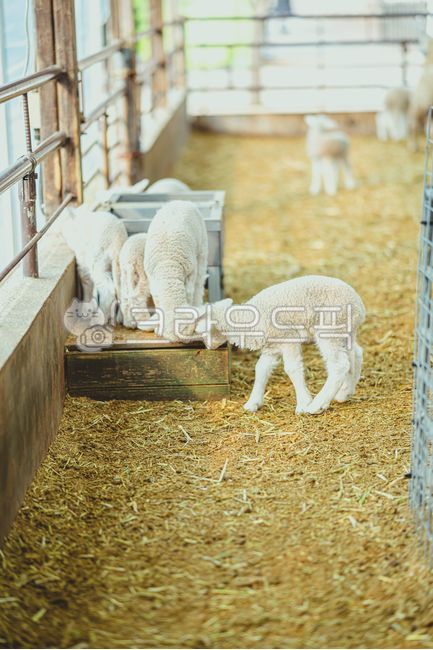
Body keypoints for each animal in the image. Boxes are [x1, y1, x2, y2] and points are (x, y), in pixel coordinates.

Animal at [143, 200, 208, 341]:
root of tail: (180, 201)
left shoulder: (190, 273)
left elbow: (189, 293)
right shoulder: (152, 280)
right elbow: (157, 300)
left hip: (202, 250)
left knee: (199, 283)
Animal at [192, 275, 365, 415]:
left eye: (202, 332)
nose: (208, 348)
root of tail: (358, 305)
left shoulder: (287, 338)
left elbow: (292, 369)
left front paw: (303, 404)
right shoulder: (272, 346)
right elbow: (261, 369)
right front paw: (253, 403)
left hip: (330, 330)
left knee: (339, 365)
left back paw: (317, 405)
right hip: (345, 332)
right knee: (355, 355)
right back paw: (345, 393)